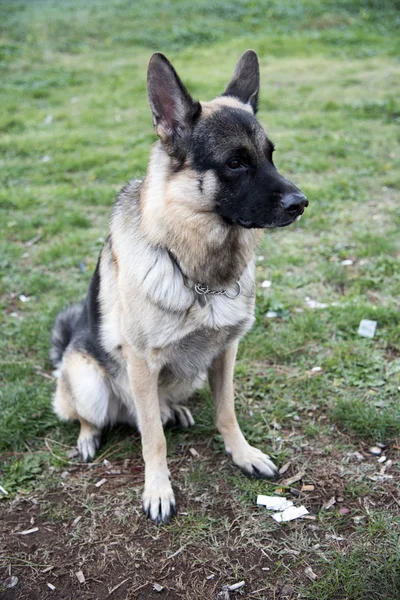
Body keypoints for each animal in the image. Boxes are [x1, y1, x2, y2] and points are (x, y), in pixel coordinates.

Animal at [49, 49, 306, 524]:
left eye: (270, 156)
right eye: (235, 162)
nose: (301, 204)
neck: (198, 273)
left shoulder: (225, 353)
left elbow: (227, 413)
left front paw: (243, 454)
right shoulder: (141, 363)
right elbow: (153, 439)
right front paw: (158, 490)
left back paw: (175, 410)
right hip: (90, 382)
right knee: (94, 416)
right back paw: (90, 437)